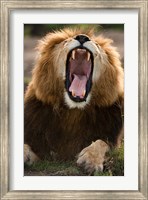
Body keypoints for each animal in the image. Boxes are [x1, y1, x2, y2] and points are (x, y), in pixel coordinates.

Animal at [24, 27, 123, 174]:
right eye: (65, 42)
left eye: (97, 45)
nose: (82, 37)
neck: (73, 111)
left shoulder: (112, 137)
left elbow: (102, 142)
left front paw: (90, 160)